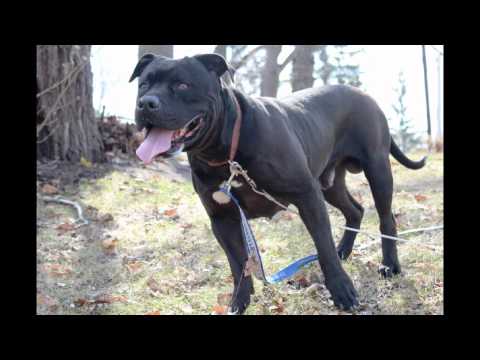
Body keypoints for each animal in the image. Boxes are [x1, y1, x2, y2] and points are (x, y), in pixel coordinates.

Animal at [129, 52, 426, 314]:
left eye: (182, 84)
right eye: (143, 84)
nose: (145, 103)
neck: (226, 152)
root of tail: (363, 94)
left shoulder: (307, 196)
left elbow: (324, 247)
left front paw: (342, 291)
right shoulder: (222, 219)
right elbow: (238, 264)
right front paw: (239, 303)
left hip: (377, 169)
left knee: (386, 218)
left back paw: (389, 265)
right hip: (329, 183)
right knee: (355, 209)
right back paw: (344, 250)